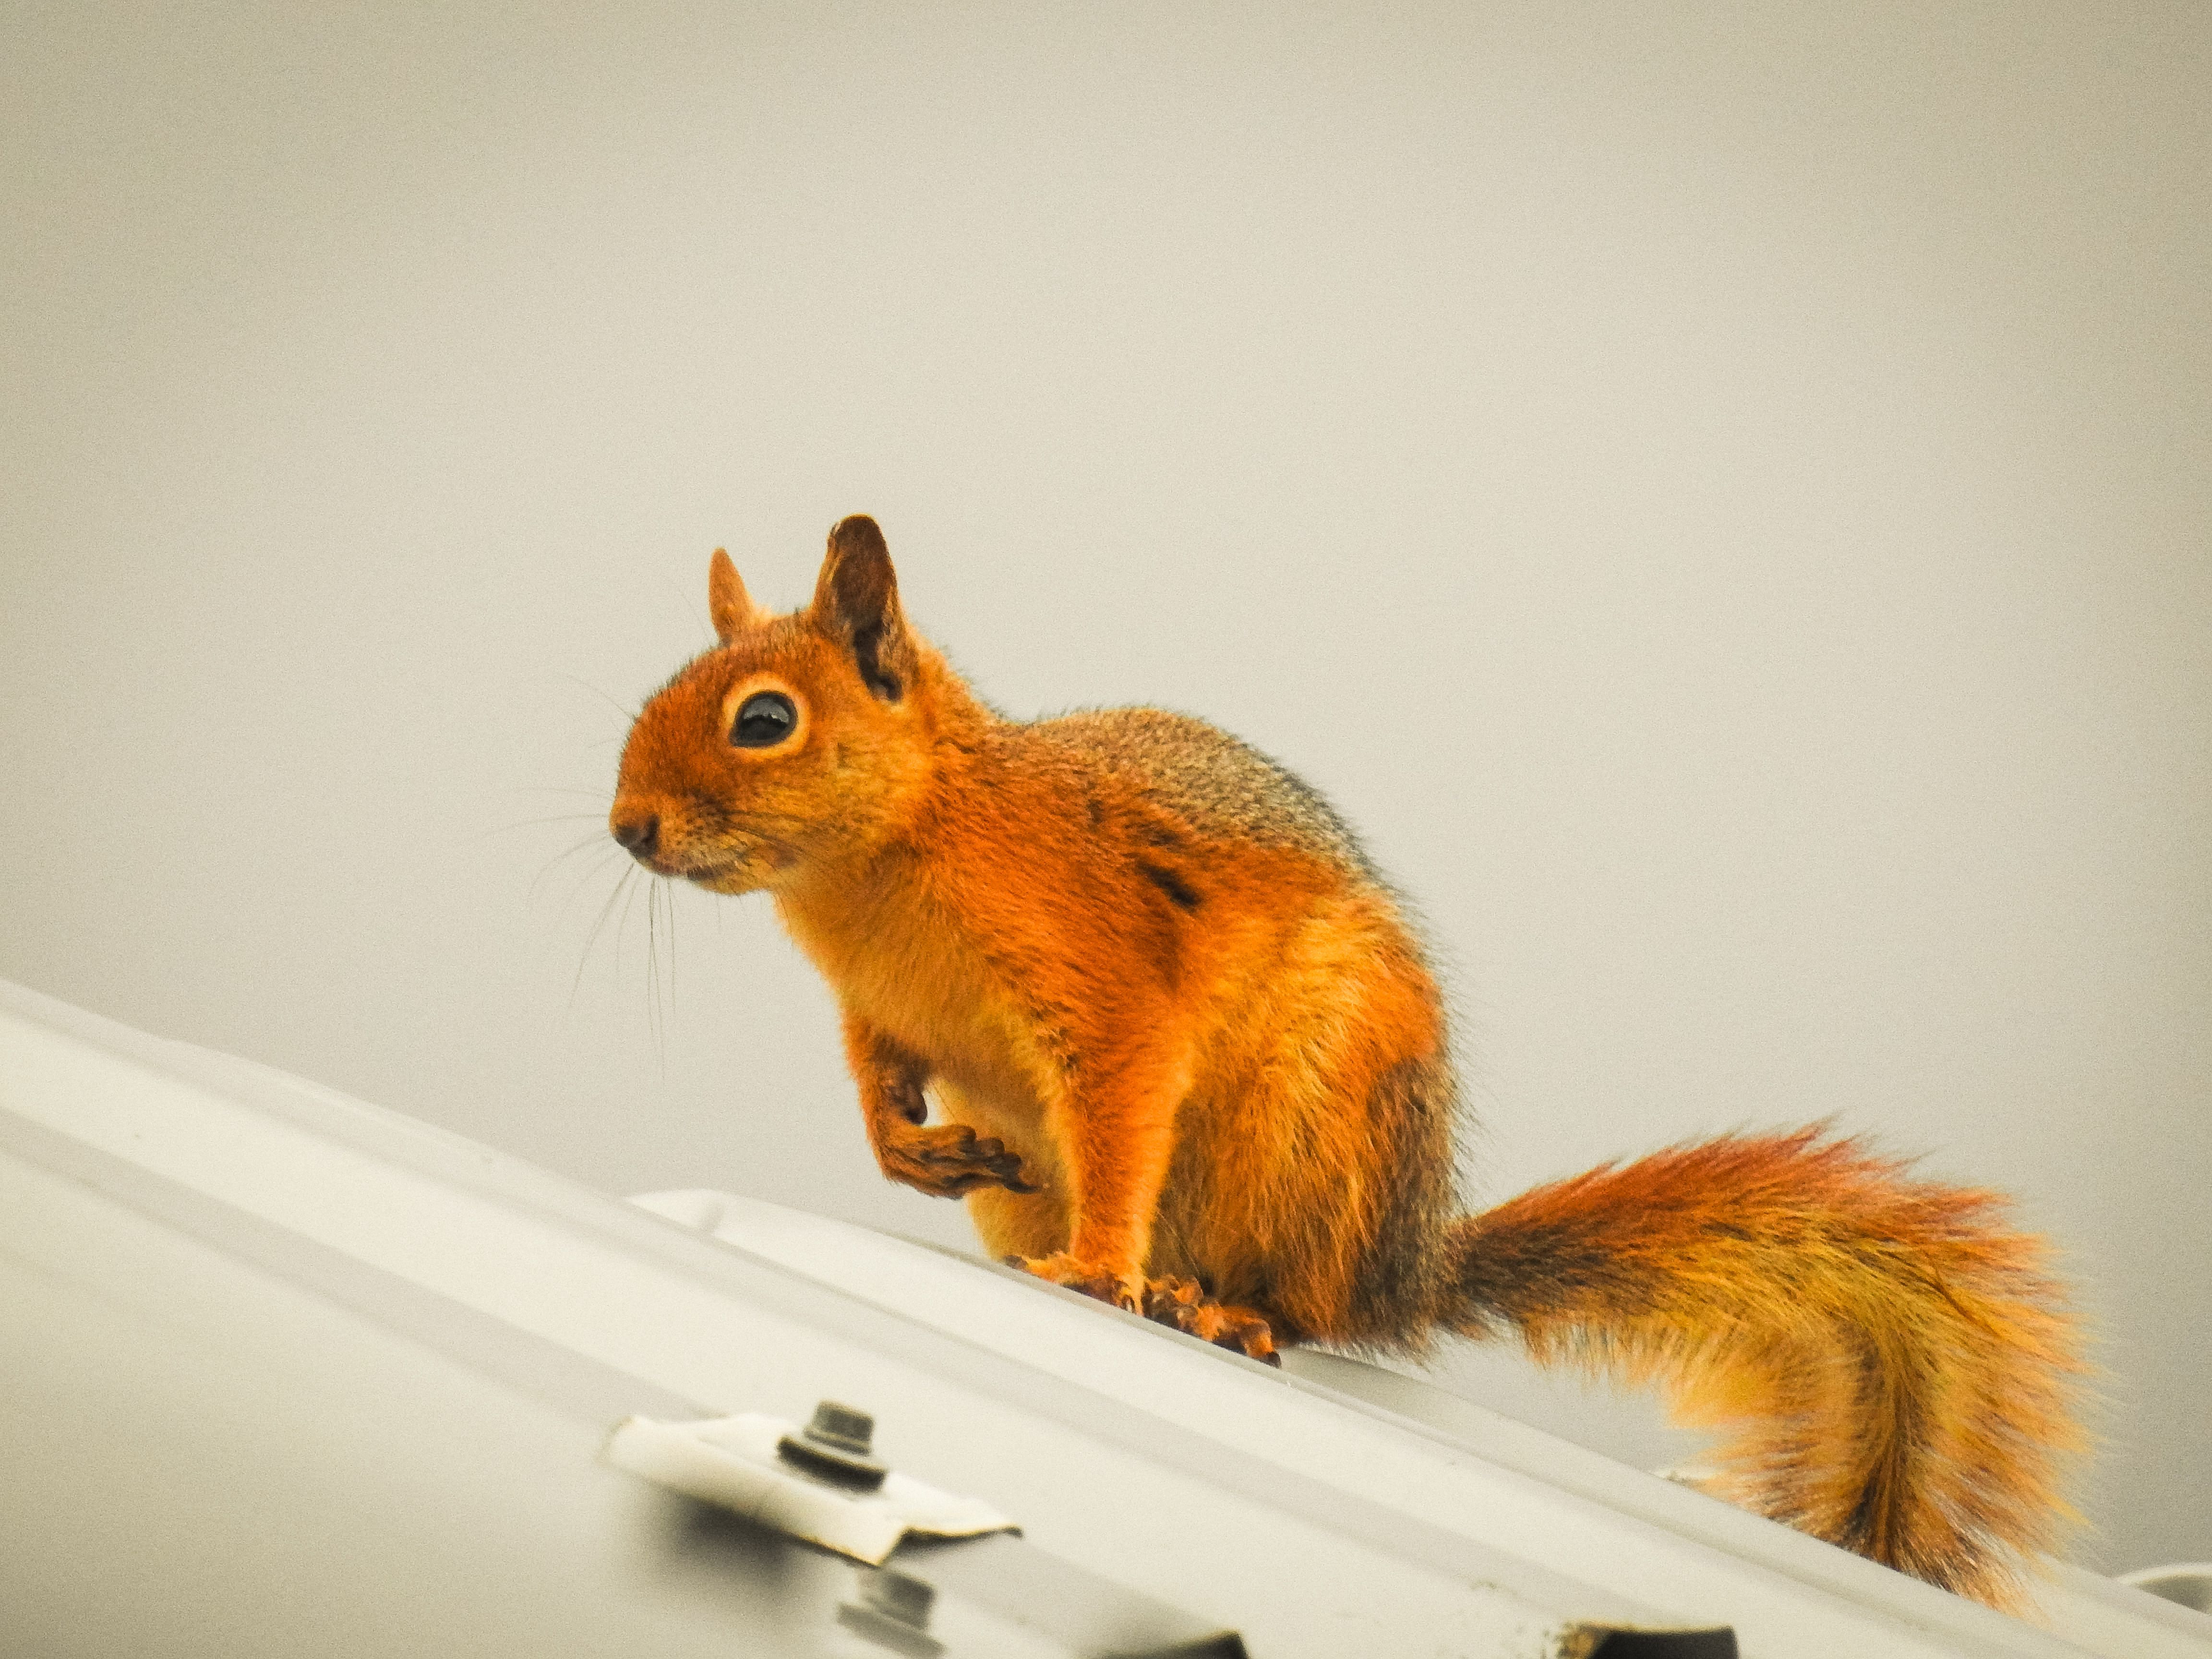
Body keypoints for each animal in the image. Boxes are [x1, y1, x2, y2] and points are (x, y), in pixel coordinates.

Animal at [608, 514, 2084, 1610]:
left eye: (763, 720)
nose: (628, 826)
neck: (887, 860)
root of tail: (1402, 1260)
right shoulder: (878, 1016)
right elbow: (878, 1094)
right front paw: (918, 1151)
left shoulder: (1108, 988)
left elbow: (1124, 1121)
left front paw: (1097, 1266)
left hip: (1312, 1127)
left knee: (1299, 1307)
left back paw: (1210, 1306)